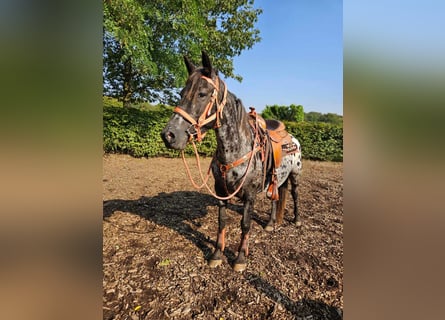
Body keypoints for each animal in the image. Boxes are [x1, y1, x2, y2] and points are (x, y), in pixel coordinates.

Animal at [160, 51, 302, 272]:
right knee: (275, 198)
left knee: (294, 194)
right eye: (181, 93)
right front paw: (217, 255)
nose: (169, 135)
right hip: (276, 178)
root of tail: (292, 138)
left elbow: (245, 224)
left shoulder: (250, 194)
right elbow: (222, 222)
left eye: (202, 93)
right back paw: (270, 223)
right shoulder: (220, 190)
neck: (237, 149)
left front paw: (240, 258)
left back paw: (296, 220)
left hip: (295, 175)